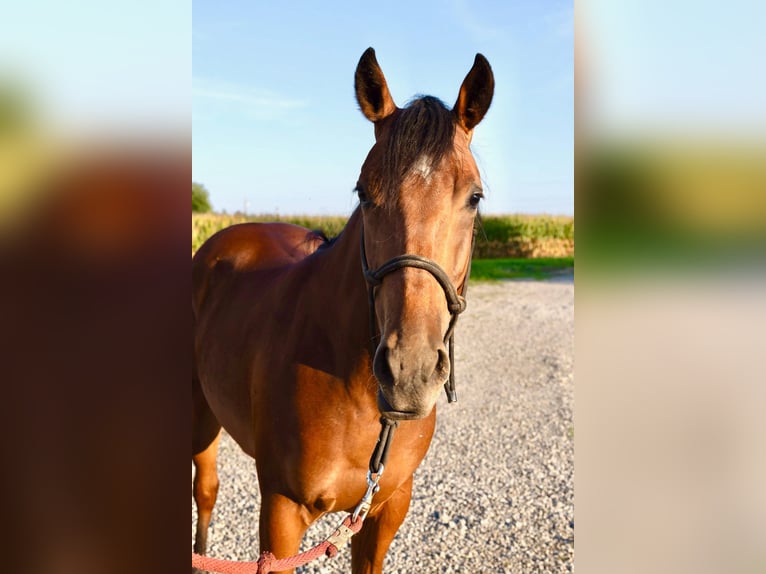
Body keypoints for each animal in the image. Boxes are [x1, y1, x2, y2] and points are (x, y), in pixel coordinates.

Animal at [192, 47, 494, 573]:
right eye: (364, 193)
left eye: (474, 197)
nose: (409, 372)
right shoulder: (282, 514)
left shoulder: (386, 507)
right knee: (204, 492)